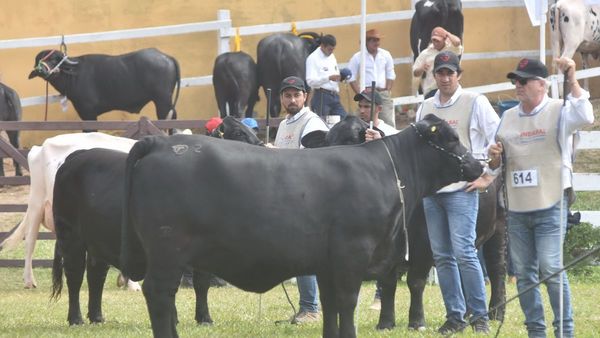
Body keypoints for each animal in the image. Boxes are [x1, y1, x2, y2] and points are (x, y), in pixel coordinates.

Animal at [28, 47, 178, 121]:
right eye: (38, 59)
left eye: (54, 59)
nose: (41, 69)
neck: (74, 75)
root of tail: (167, 57)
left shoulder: (88, 113)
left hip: (162, 102)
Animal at [120, 114, 482, 338]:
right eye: (452, 138)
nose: (478, 165)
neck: (385, 170)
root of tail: (161, 143)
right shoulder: (352, 253)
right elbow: (347, 302)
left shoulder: (327, 264)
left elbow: (332, 306)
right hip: (168, 250)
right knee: (159, 293)